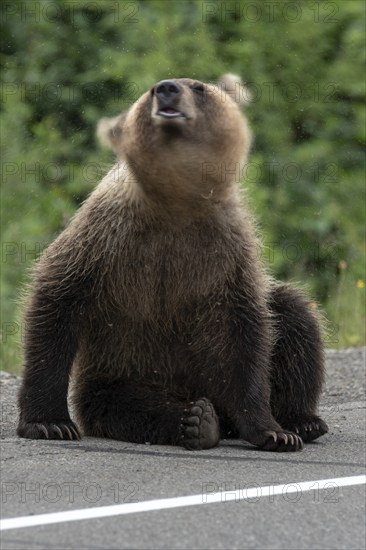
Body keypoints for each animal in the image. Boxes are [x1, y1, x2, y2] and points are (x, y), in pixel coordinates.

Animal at [17, 74, 328, 452]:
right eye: (152, 89)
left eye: (198, 87)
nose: (167, 88)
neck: (177, 202)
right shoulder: (106, 237)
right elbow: (57, 298)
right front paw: (50, 423)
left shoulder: (227, 253)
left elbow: (247, 336)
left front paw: (273, 432)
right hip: (122, 371)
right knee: (129, 406)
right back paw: (196, 420)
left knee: (295, 317)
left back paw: (301, 421)